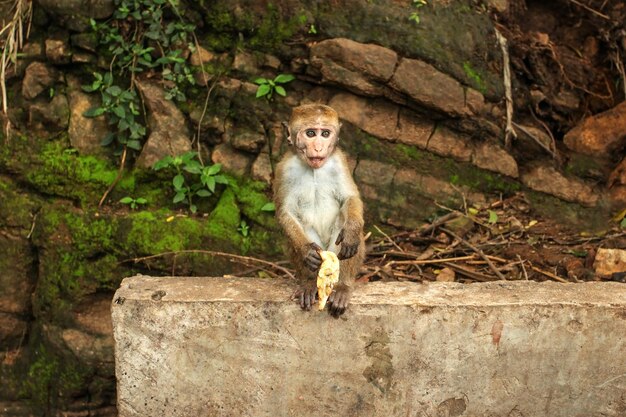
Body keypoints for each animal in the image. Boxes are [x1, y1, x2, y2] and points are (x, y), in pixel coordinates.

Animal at [270, 104, 364, 316]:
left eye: (325, 134)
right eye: (311, 133)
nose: (319, 147)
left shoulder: (339, 161)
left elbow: (349, 198)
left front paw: (351, 233)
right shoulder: (284, 169)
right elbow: (285, 212)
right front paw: (306, 251)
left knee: (343, 222)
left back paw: (343, 287)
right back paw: (309, 284)